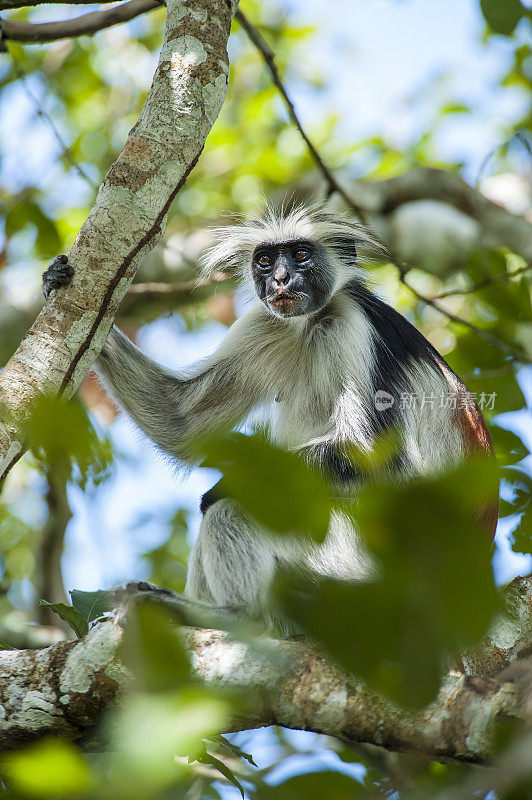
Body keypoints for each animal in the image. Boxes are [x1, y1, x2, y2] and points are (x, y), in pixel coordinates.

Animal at [43, 203, 496, 620]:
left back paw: (236, 616)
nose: (280, 279)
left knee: (233, 511)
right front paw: (67, 289)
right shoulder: (267, 322)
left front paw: (224, 486)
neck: (313, 323)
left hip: (356, 562)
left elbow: (371, 454)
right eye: (264, 260)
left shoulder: (353, 326)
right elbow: (181, 421)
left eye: (300, 254)